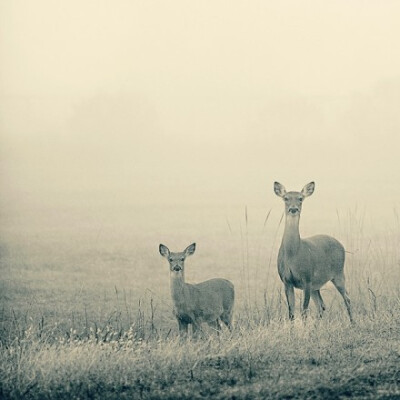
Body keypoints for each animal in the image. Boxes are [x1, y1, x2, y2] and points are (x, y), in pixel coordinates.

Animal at [274, 181, 352, 322]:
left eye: (300, 198)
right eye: (286, 198)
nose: (293, 209)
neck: (293, 254)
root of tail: (341, 245)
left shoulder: (307, 278)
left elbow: (304, 310)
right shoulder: (286, 280)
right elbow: (291, 313)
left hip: (338, 273)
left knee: (347, 298)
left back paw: (353, 323)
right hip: (317, 284)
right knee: (322, 305)